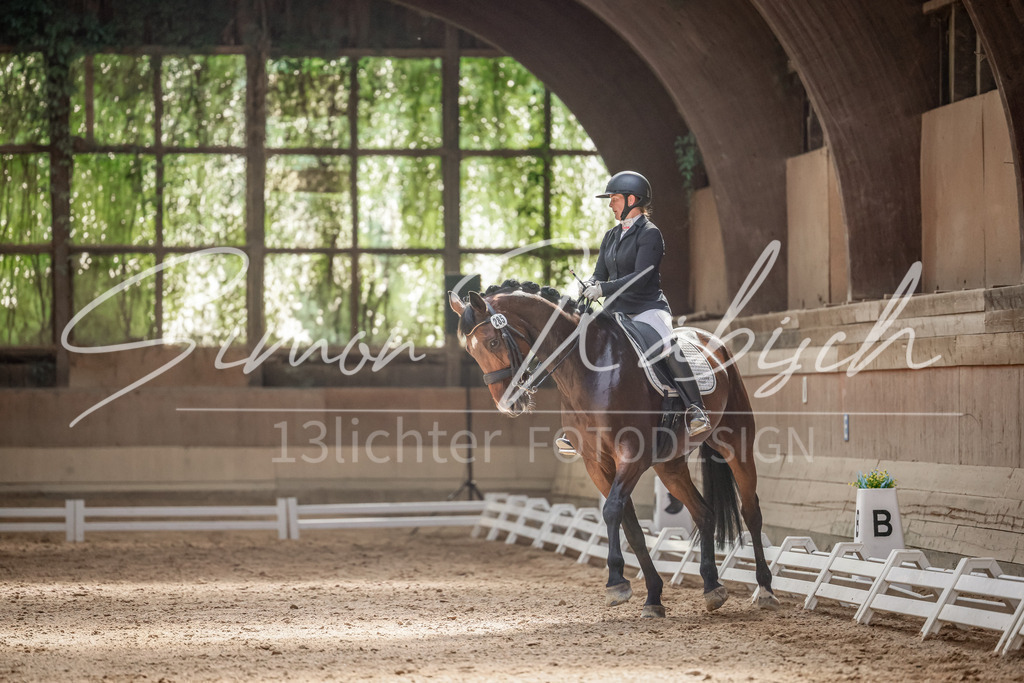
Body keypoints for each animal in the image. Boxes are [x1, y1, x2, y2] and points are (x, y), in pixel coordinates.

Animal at [448, 281, 779, 618]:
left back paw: (765, 589)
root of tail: (712, 340)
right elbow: (630, 525)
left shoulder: (632, 454)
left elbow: (611, 511)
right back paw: (712, 587)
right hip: (670, 465)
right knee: (704, 512)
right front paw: (652, 597)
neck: (588, 369)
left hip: (735, 442)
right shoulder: (597, 463)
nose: (508, 405)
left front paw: (617, 583)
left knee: (750, 511)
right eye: (471, 351)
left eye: (492, 342)